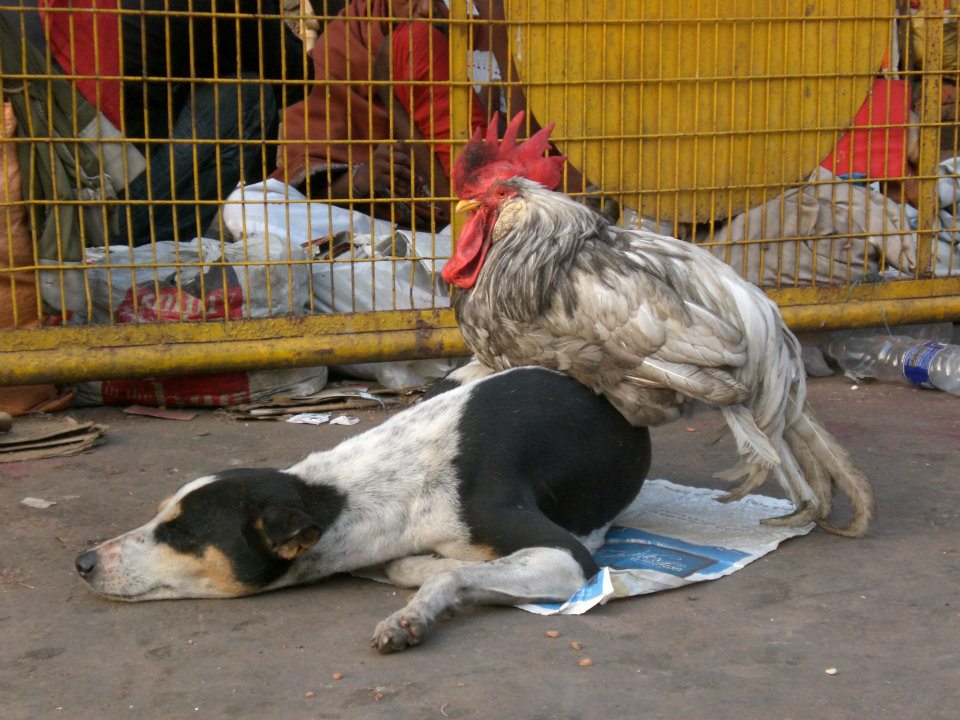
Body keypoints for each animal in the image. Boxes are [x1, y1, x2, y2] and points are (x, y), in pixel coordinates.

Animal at [77, 366, 652, 652]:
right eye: (159, 516)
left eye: (183, 534)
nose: (82, 562)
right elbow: (415, 566)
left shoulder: (569, 558)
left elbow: (441, 575)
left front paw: (412, 615)